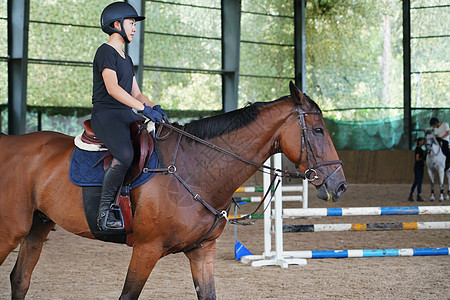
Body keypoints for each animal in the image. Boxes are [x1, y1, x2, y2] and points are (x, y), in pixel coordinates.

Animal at [0, 81, 348, 298]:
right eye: (318, 130)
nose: (339, 184)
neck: (196, 168)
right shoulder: (146, 249)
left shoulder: (202, 252)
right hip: (10, 232)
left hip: (37, 227)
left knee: (19, 279)